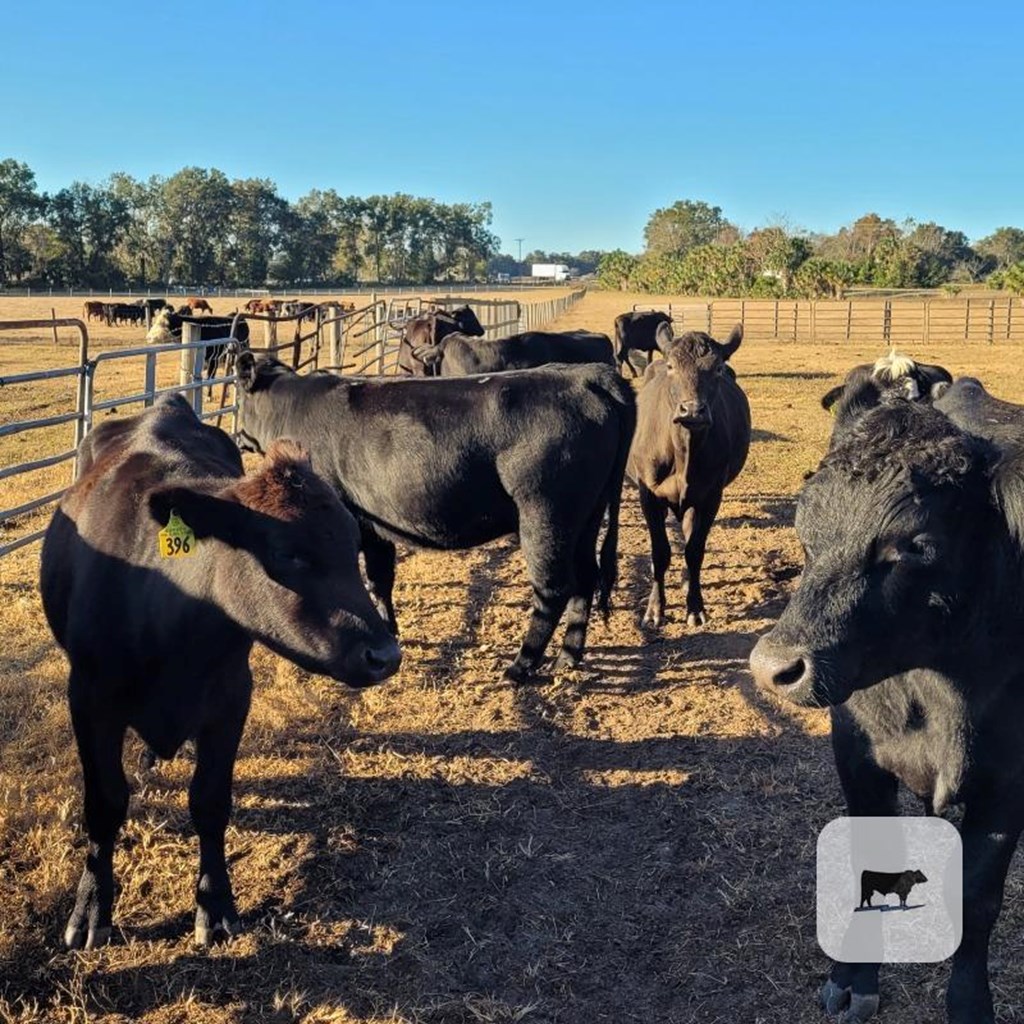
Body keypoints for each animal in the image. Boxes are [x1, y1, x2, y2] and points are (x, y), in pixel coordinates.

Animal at [235, 352, 634, 679]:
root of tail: (586, 375)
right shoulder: (373, 525)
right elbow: (380, 580)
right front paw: (390, 630)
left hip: (546, 516)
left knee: (554, 588)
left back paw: (521, 666)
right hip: (587, 517)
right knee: (586, 577)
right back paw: (568, 658)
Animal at [622, 323, 753, 626]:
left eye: (718, 368)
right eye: (672, 366)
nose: (692, 410)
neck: (684, 454)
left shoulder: (710, 496)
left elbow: (694, 550)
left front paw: (695, 607)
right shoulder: (649, 494)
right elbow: (660, 552)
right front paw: (655, 610)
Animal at [749, 401, 1024, 1024]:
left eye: (916, 545)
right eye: (805, 529)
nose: (773, 668)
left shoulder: (1010, 783)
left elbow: (979, 896)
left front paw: (969, 1003)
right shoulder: (857, 754)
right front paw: (853, 979)